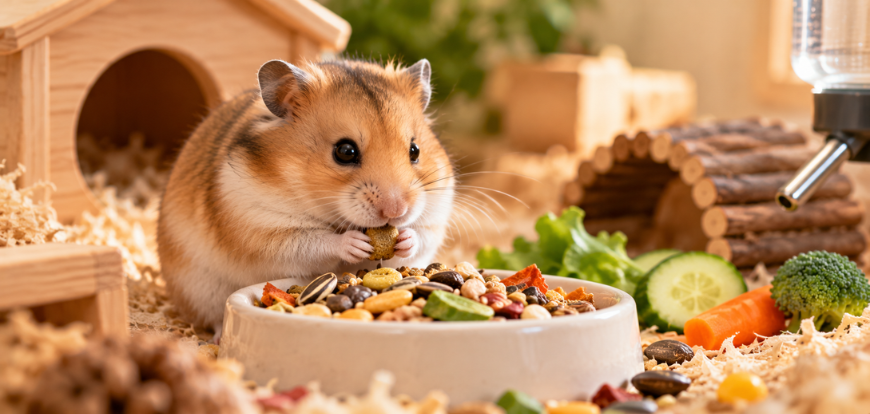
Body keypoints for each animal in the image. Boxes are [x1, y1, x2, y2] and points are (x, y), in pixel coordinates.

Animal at [157, 59, 455, 336]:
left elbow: (419, 237)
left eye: (415, 150)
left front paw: (404, 238)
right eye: (345, 151)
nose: (396, 211)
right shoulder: (263, 229)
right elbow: (317, 242)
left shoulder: (434, 219)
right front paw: (355, 243)